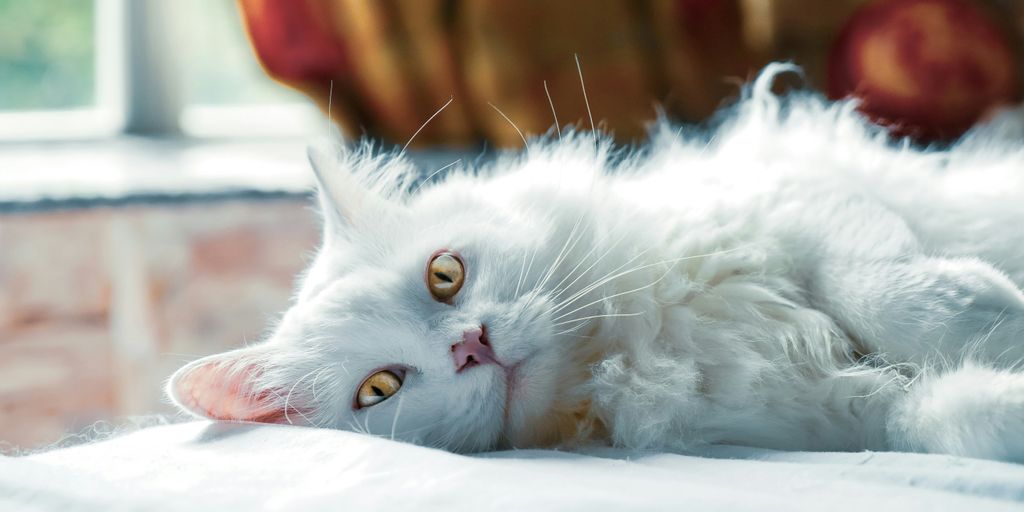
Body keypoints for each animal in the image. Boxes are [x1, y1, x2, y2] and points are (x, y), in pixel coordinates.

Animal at [167, 66, 1024, 462]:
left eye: (445, 275)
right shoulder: (842, 418)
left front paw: (995, 308)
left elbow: (892, 293)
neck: (631, 348)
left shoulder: (804, 199)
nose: (469, 346)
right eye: (380, 389)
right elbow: (957, 415)